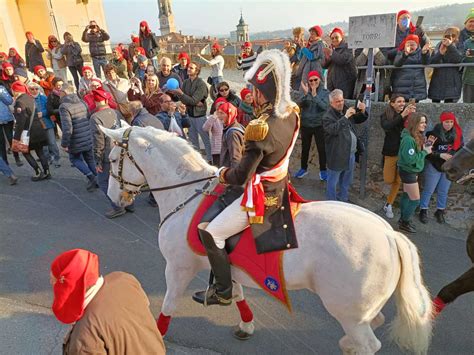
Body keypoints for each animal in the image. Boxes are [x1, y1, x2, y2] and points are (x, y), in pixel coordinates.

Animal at [101, 126, 434, 354]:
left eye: (114, 158)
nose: (113, 197)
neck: (187, 193)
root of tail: (389, 235)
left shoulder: (178, 268)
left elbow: (169, 304)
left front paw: (156, 336)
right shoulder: (227, 263)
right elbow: (236, 294)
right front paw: (245, 325)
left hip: (348, 312)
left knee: (368, 343)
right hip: (359, 311)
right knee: (372, 327)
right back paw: (346, 344)